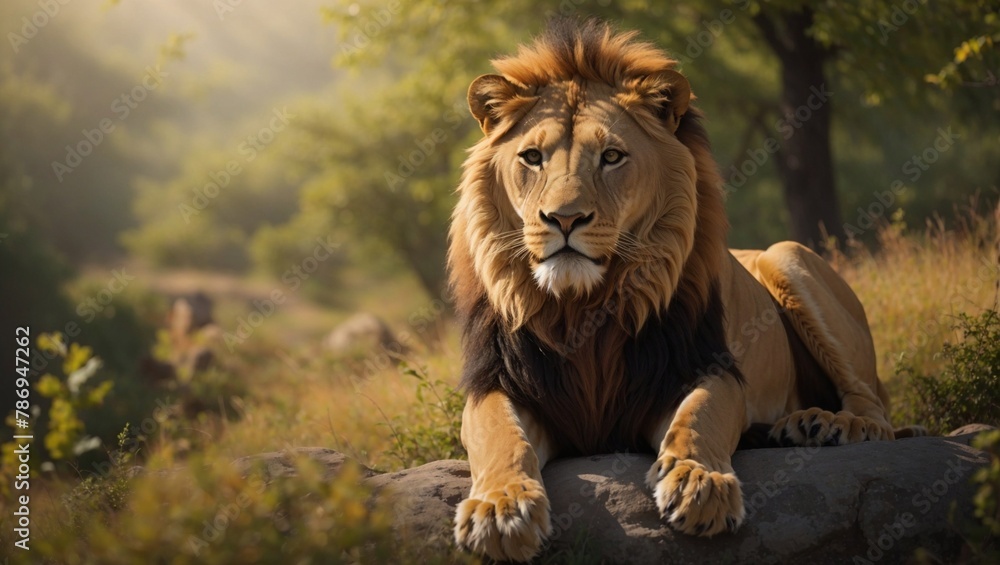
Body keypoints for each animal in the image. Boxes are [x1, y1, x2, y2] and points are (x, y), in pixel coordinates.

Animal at [447, 19, 919, 562]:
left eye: (611, 157)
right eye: (531, 157)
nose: (564, 219)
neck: (583, 305)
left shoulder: (704, 368)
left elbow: (699, 417)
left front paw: (699, 485)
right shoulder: (499, 383)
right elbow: (500, 437)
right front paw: (500, 510)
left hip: (785, 256)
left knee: (876, 408)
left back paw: (833, 425)